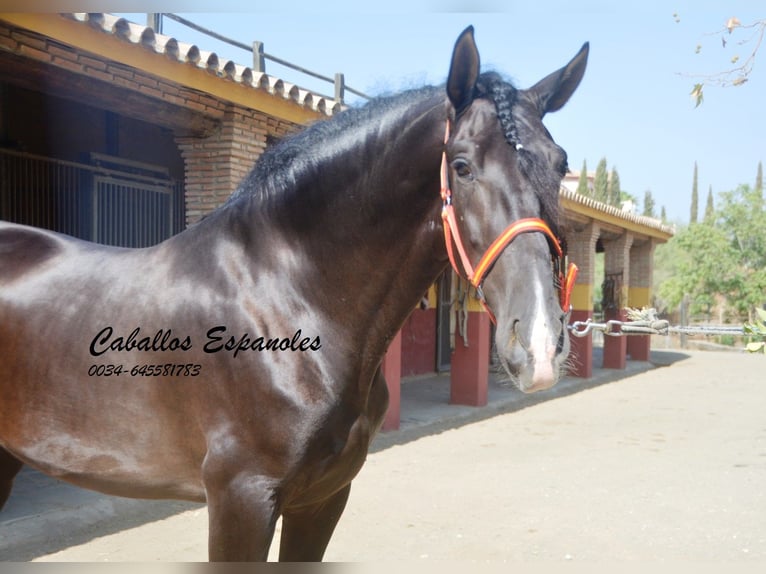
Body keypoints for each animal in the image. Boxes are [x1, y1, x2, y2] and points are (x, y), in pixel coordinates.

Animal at [0, 28, 592, 564]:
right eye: (462, 165)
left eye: (560, 164)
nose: (540, 344)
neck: (285, 303)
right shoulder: (241, 500)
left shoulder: (323, 497)